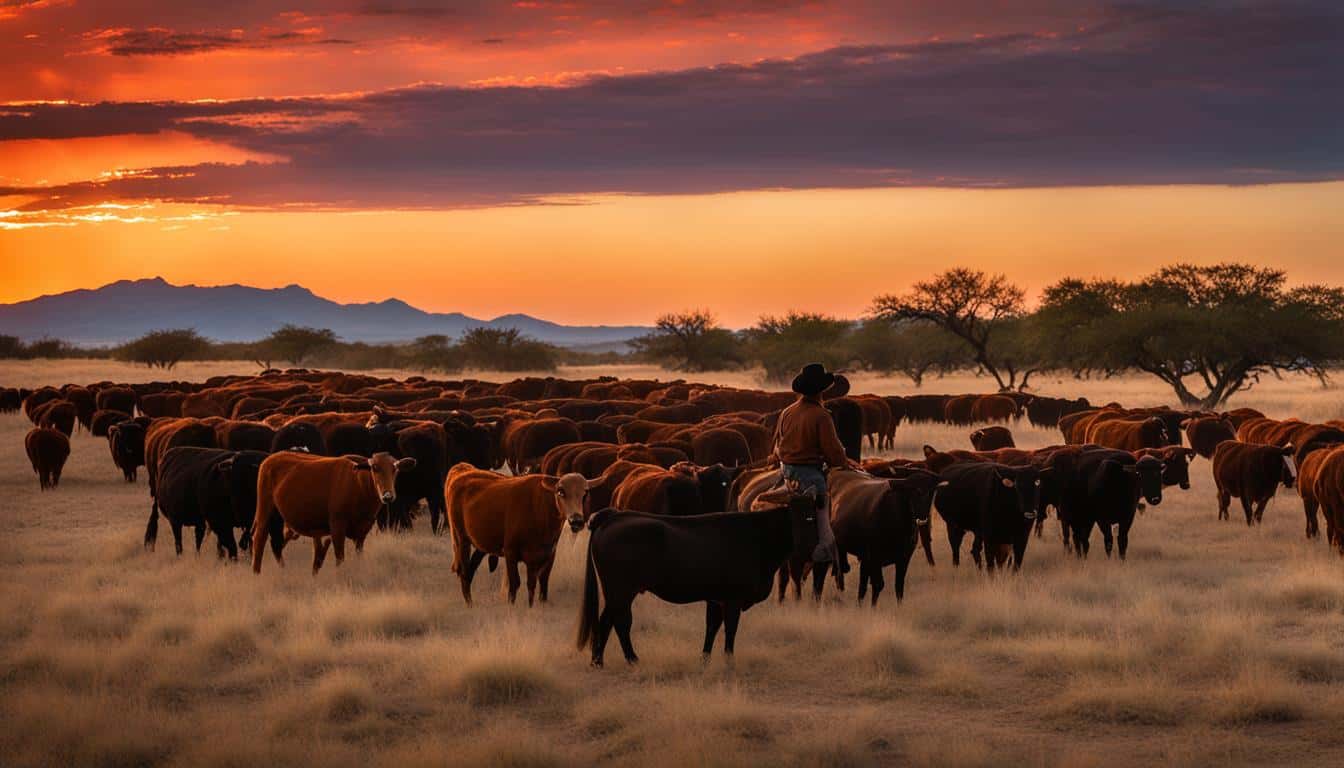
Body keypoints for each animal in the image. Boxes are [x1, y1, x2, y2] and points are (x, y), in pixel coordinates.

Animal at [249, 454, 416, 572]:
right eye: (375, 468)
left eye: (395, 469)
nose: (388, 496)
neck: (358, 485)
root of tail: (269, 459)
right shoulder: (337, 526)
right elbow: (339, 558)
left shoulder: (362, 531)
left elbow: (358, 554)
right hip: (265, 510)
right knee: (260, 539)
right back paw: (256, 572)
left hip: (282, 521)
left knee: (276, 543)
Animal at [443, 462, 602, 607]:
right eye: (561, 492)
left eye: (585, 493)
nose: (576, 521)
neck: (540, 511)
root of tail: (462, 470)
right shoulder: (511, 553)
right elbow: (515, 583)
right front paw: (511, 607)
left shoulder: (547, 555)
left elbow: (538, 583)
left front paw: (535, 606)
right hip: (461, 539)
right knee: (464, 572)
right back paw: (469, 604)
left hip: (481, 545)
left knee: (470, 570)